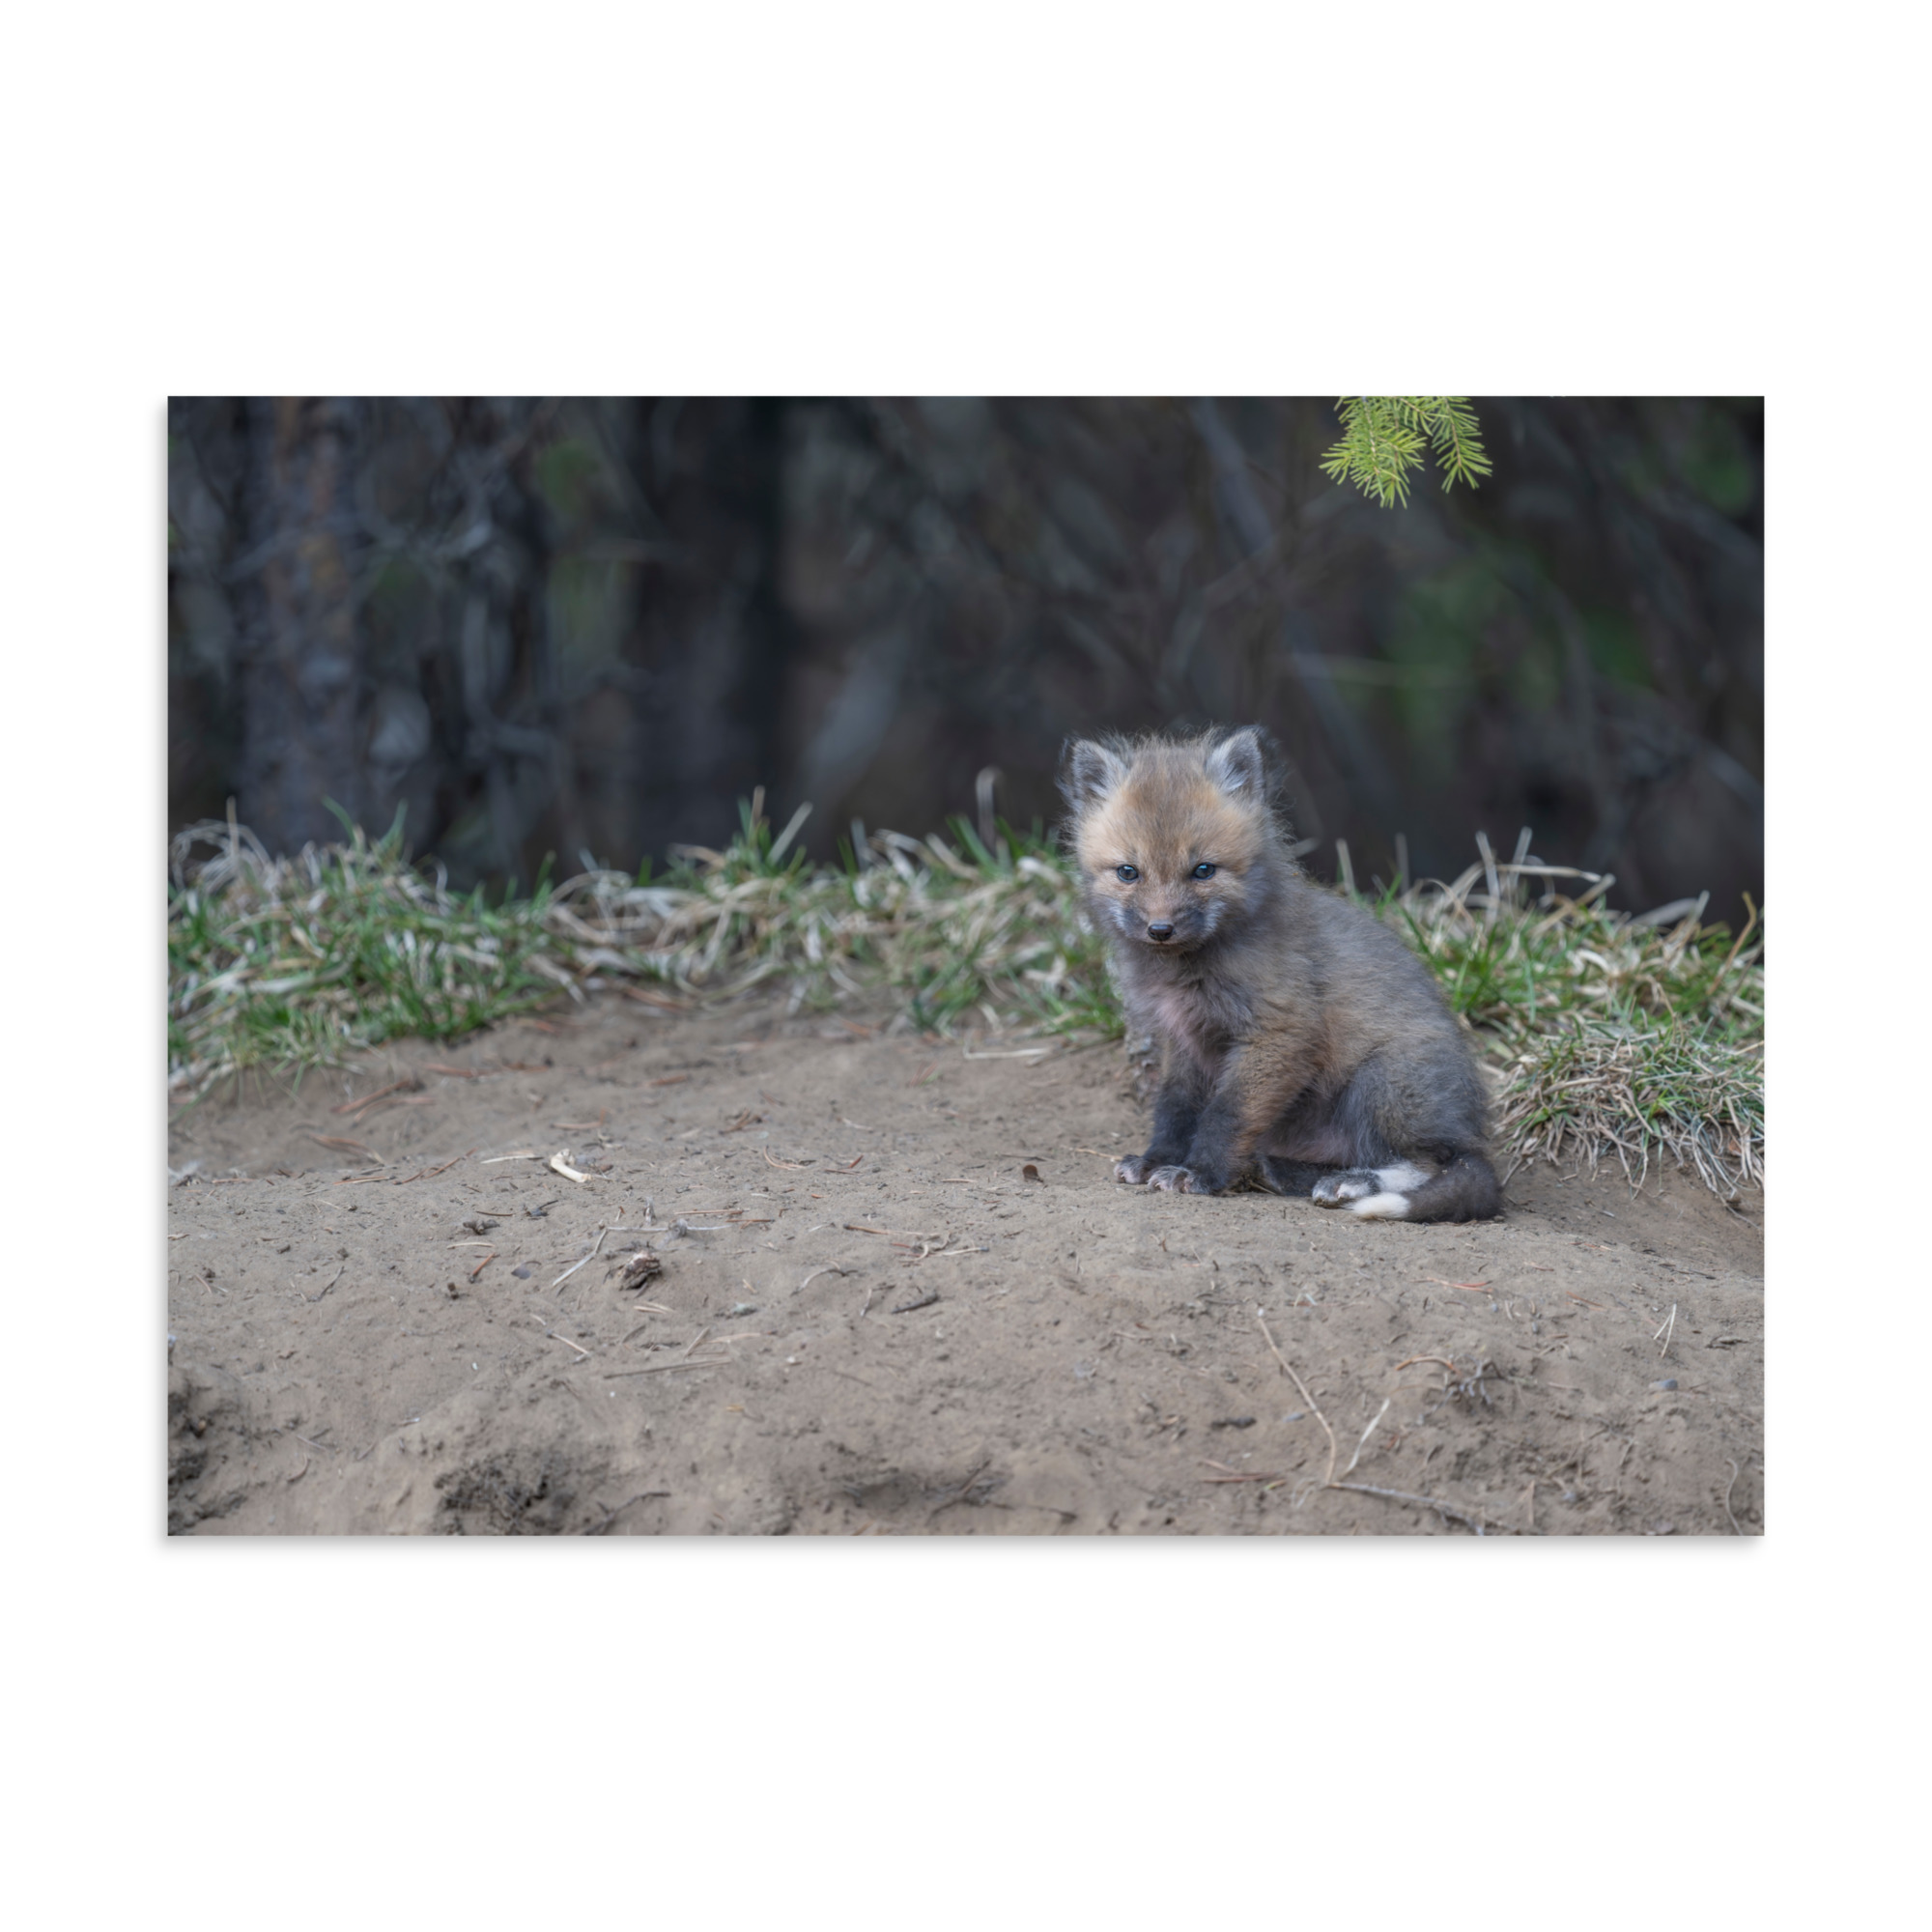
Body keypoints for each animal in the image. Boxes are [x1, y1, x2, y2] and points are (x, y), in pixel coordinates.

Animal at [1059, 725, 1502, 1223]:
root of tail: (1470, 1129)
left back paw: (1353, 1183)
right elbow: (1175, 1109)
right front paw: (1158, 1160)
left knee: (1432, 1163)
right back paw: (1283, 1171)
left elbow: (1226, 1115)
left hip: (1382, 1083)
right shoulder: (1184, 1040)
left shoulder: (1279, 1032)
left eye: (1203, 870)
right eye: (1128, 872)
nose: (1160, 929)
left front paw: (1200, 1174)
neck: (1187, 971)